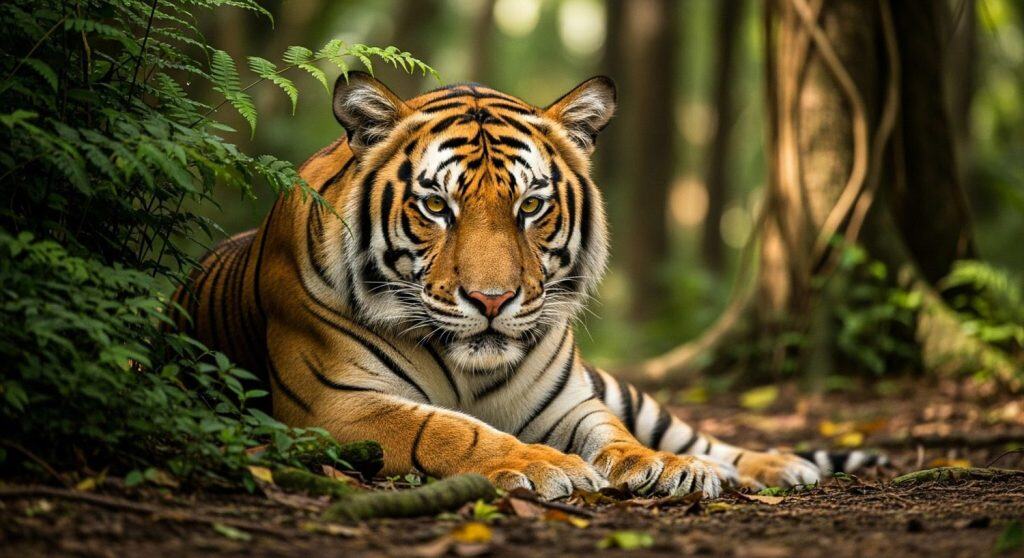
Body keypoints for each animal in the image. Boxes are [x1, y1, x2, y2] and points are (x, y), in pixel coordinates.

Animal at [173, 72, 879, 499]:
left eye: (531, 206)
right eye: (437, 207)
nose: (491, 301)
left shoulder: (571, 402)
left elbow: (617, 437)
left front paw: (667, 468)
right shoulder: (334, 407)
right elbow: (450, 430)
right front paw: (545, 464)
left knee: (704, 436)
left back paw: (774, 463)